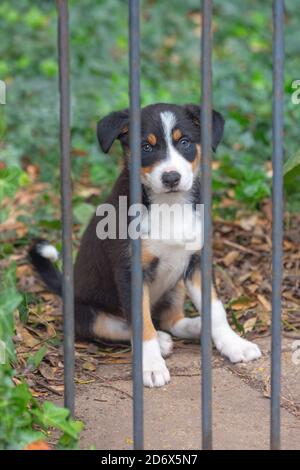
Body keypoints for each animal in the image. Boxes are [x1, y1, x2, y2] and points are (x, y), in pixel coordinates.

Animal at [29, 103, 262, 390]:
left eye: (185, 142)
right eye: (146, 147)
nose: (171, 177)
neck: (169, 205)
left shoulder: (197, 262)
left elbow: (216, 309)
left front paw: (233, 344)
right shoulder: (131, 272)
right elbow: (141, 324)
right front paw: (151, 367)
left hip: (176, 285)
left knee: (170, 320)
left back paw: (196, 327)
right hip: (89, 315)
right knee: (125, 326)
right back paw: (161, 342)